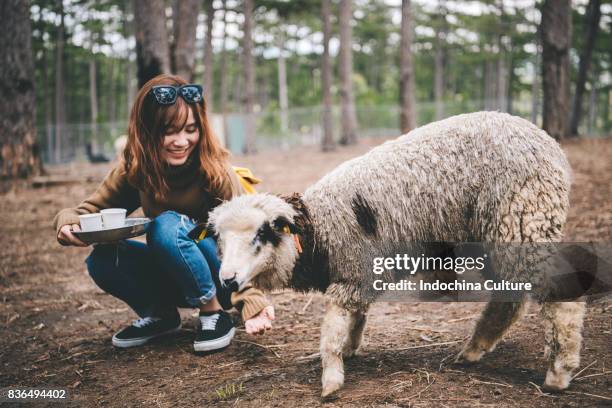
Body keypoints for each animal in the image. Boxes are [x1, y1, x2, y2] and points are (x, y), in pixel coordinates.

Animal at [207, 111, 584, 396]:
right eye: (219, 239)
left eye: (261, 234)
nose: (227, 280)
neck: (319, 232)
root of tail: (550, 145)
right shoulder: (359, 275)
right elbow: (356, 318)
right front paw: (350, 349)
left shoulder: (352, 274)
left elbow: (332, 329)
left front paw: (331, 378)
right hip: (501, 233)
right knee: (509, 299)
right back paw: (473, 351)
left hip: (524, 220)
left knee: (560, 298)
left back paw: (558, 373)